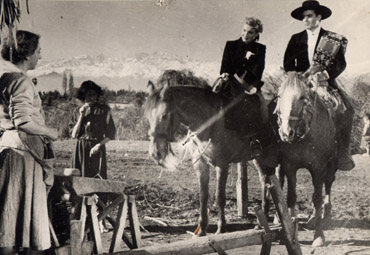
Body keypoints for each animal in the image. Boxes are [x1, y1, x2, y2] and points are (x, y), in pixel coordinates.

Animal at [143, 71, 276, 235]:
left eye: (165, 115)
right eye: (148, 117)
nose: (156, 152)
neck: (210, 123)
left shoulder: (222, 165)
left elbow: (219, 197)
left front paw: (221, 227)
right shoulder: (200, 164)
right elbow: (203, 196)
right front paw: (202, 229)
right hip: (260, 158)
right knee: (266, 182)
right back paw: (262, 222)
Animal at [274, 72, 338, 247]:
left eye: (303, 97)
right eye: (279, 96)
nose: (286, 132)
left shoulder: (319, 168)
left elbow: (317, 198)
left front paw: (318, 236)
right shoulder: (290, 166)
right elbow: (291, 196)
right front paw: (289, 229)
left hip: (331, 165)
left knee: (327, 185)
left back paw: (324, 216)